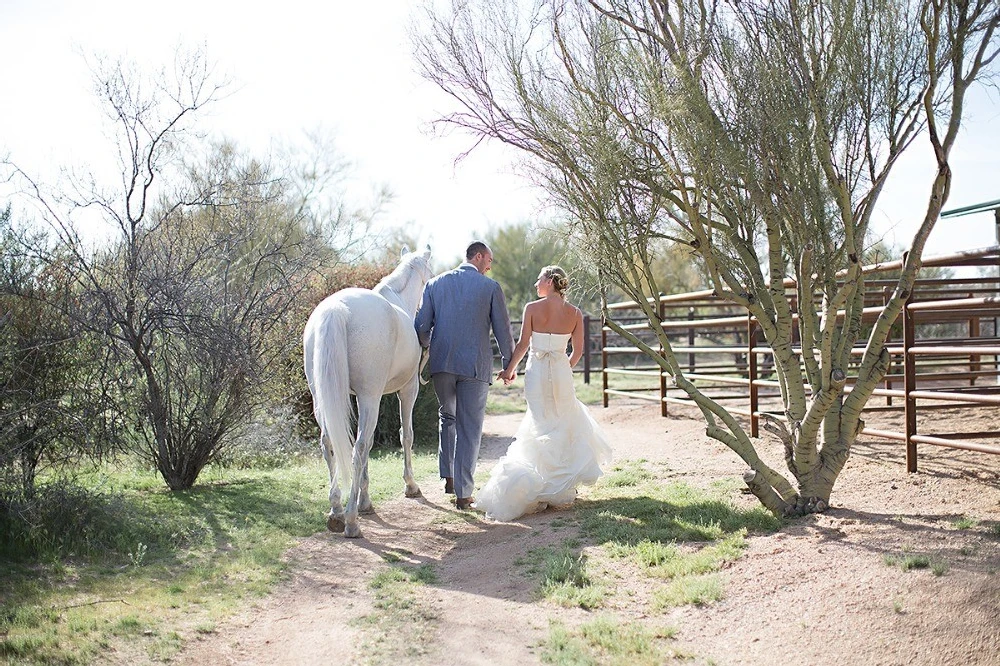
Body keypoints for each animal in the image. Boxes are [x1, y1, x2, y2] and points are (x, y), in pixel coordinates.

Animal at [300, 246, 434, 536]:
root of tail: (336, 308)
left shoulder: (366, 398)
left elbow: (371, 442)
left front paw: (365, 500)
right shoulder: (406, 390)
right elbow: (405, 435)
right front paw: (410, 486)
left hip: (323, 398)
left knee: (330, 443)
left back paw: (336, 511)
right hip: (371, 397)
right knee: (357, 448)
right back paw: (350, 521)